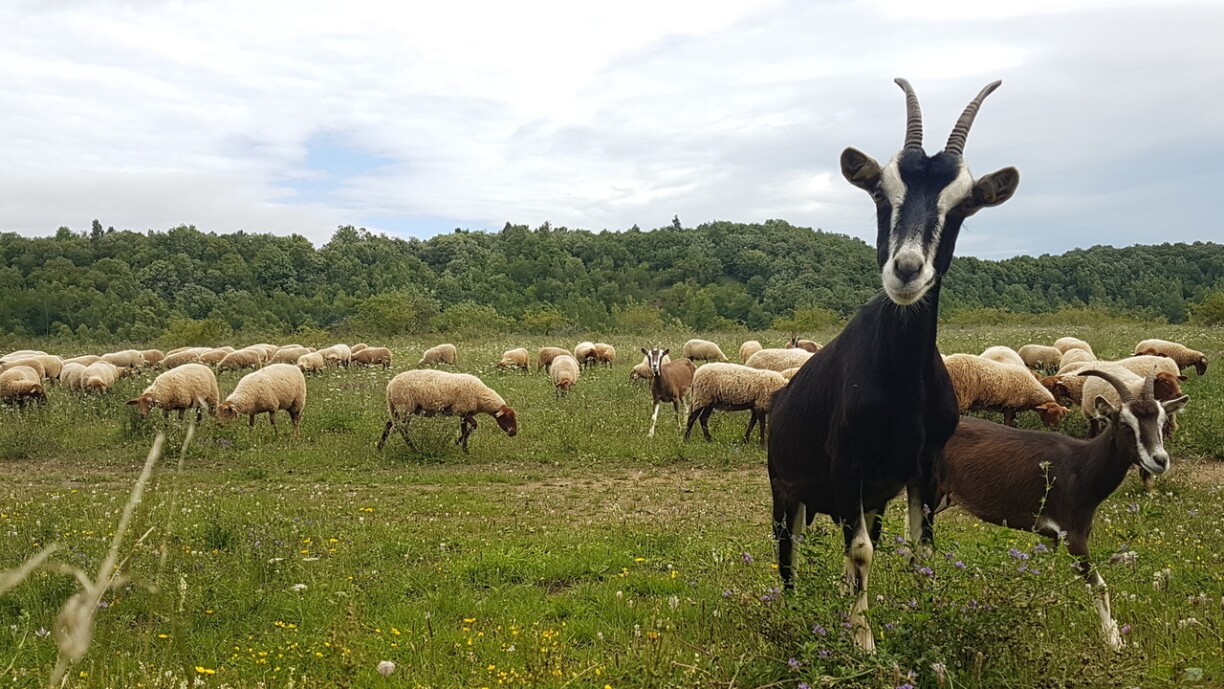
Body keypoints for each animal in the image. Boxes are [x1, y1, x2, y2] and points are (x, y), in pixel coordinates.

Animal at [377, 369, 518, 453]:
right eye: (507, 418)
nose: (514, 433)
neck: (480, 395)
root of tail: (390, 386)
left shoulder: (463, 413)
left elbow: (467, 428)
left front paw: (463, 447)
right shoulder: (462, 410)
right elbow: (473, 425)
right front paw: (460, 444)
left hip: (397, 409)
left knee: (390, 424)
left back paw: (380, 447)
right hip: (404, 407)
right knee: (402, 429)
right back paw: (414, 449)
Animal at [768, 78, 1019, 652]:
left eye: (965, 205)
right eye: (881, 193)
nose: (906, 269)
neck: (901, 382)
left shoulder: (922, 467)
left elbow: (919, 550)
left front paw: (925, 622)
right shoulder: (848, 466)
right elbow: (861, 551)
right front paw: (864, 642)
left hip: (869, 497)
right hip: (786, 490)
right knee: (788, 552)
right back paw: (793, 610)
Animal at [935, 370, 1189, 651]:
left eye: (1162, 421)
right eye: (1124, 424)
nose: (1160, 460)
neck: (1082, 466)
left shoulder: (1050, 536)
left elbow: (1042, 575)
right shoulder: (1073, 536)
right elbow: (1099, 586)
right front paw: (1113, 641)